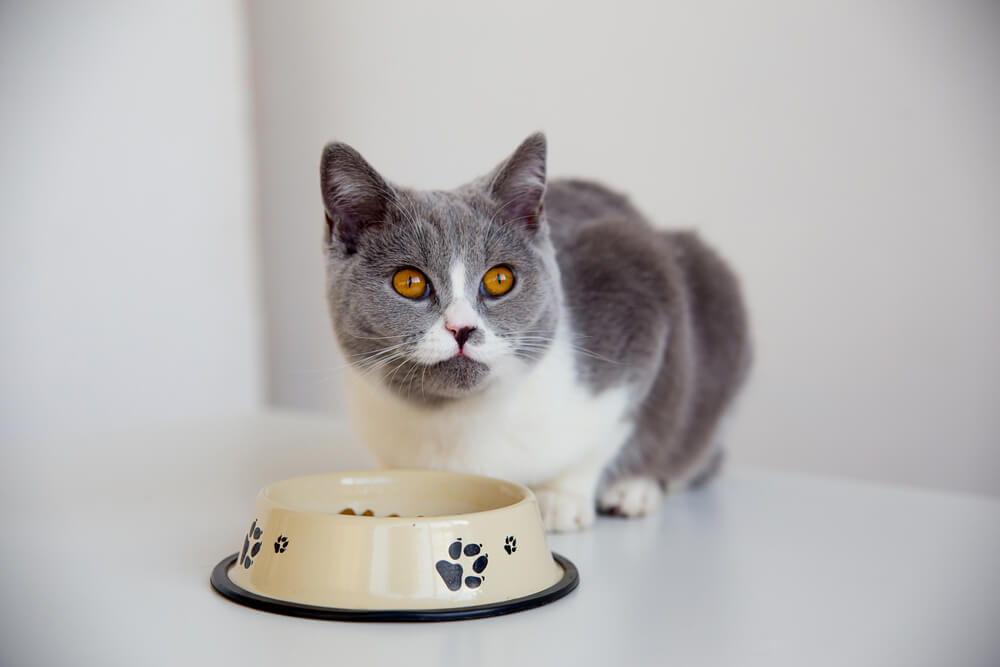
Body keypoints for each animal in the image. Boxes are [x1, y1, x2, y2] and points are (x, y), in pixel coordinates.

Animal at [320, 134, 752, 532]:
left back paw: (634, 490)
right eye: (409, 282)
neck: (457, 419)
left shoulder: (639, 291)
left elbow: (608, 433)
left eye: (499, 279)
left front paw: (561, 499)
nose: (462, 328)